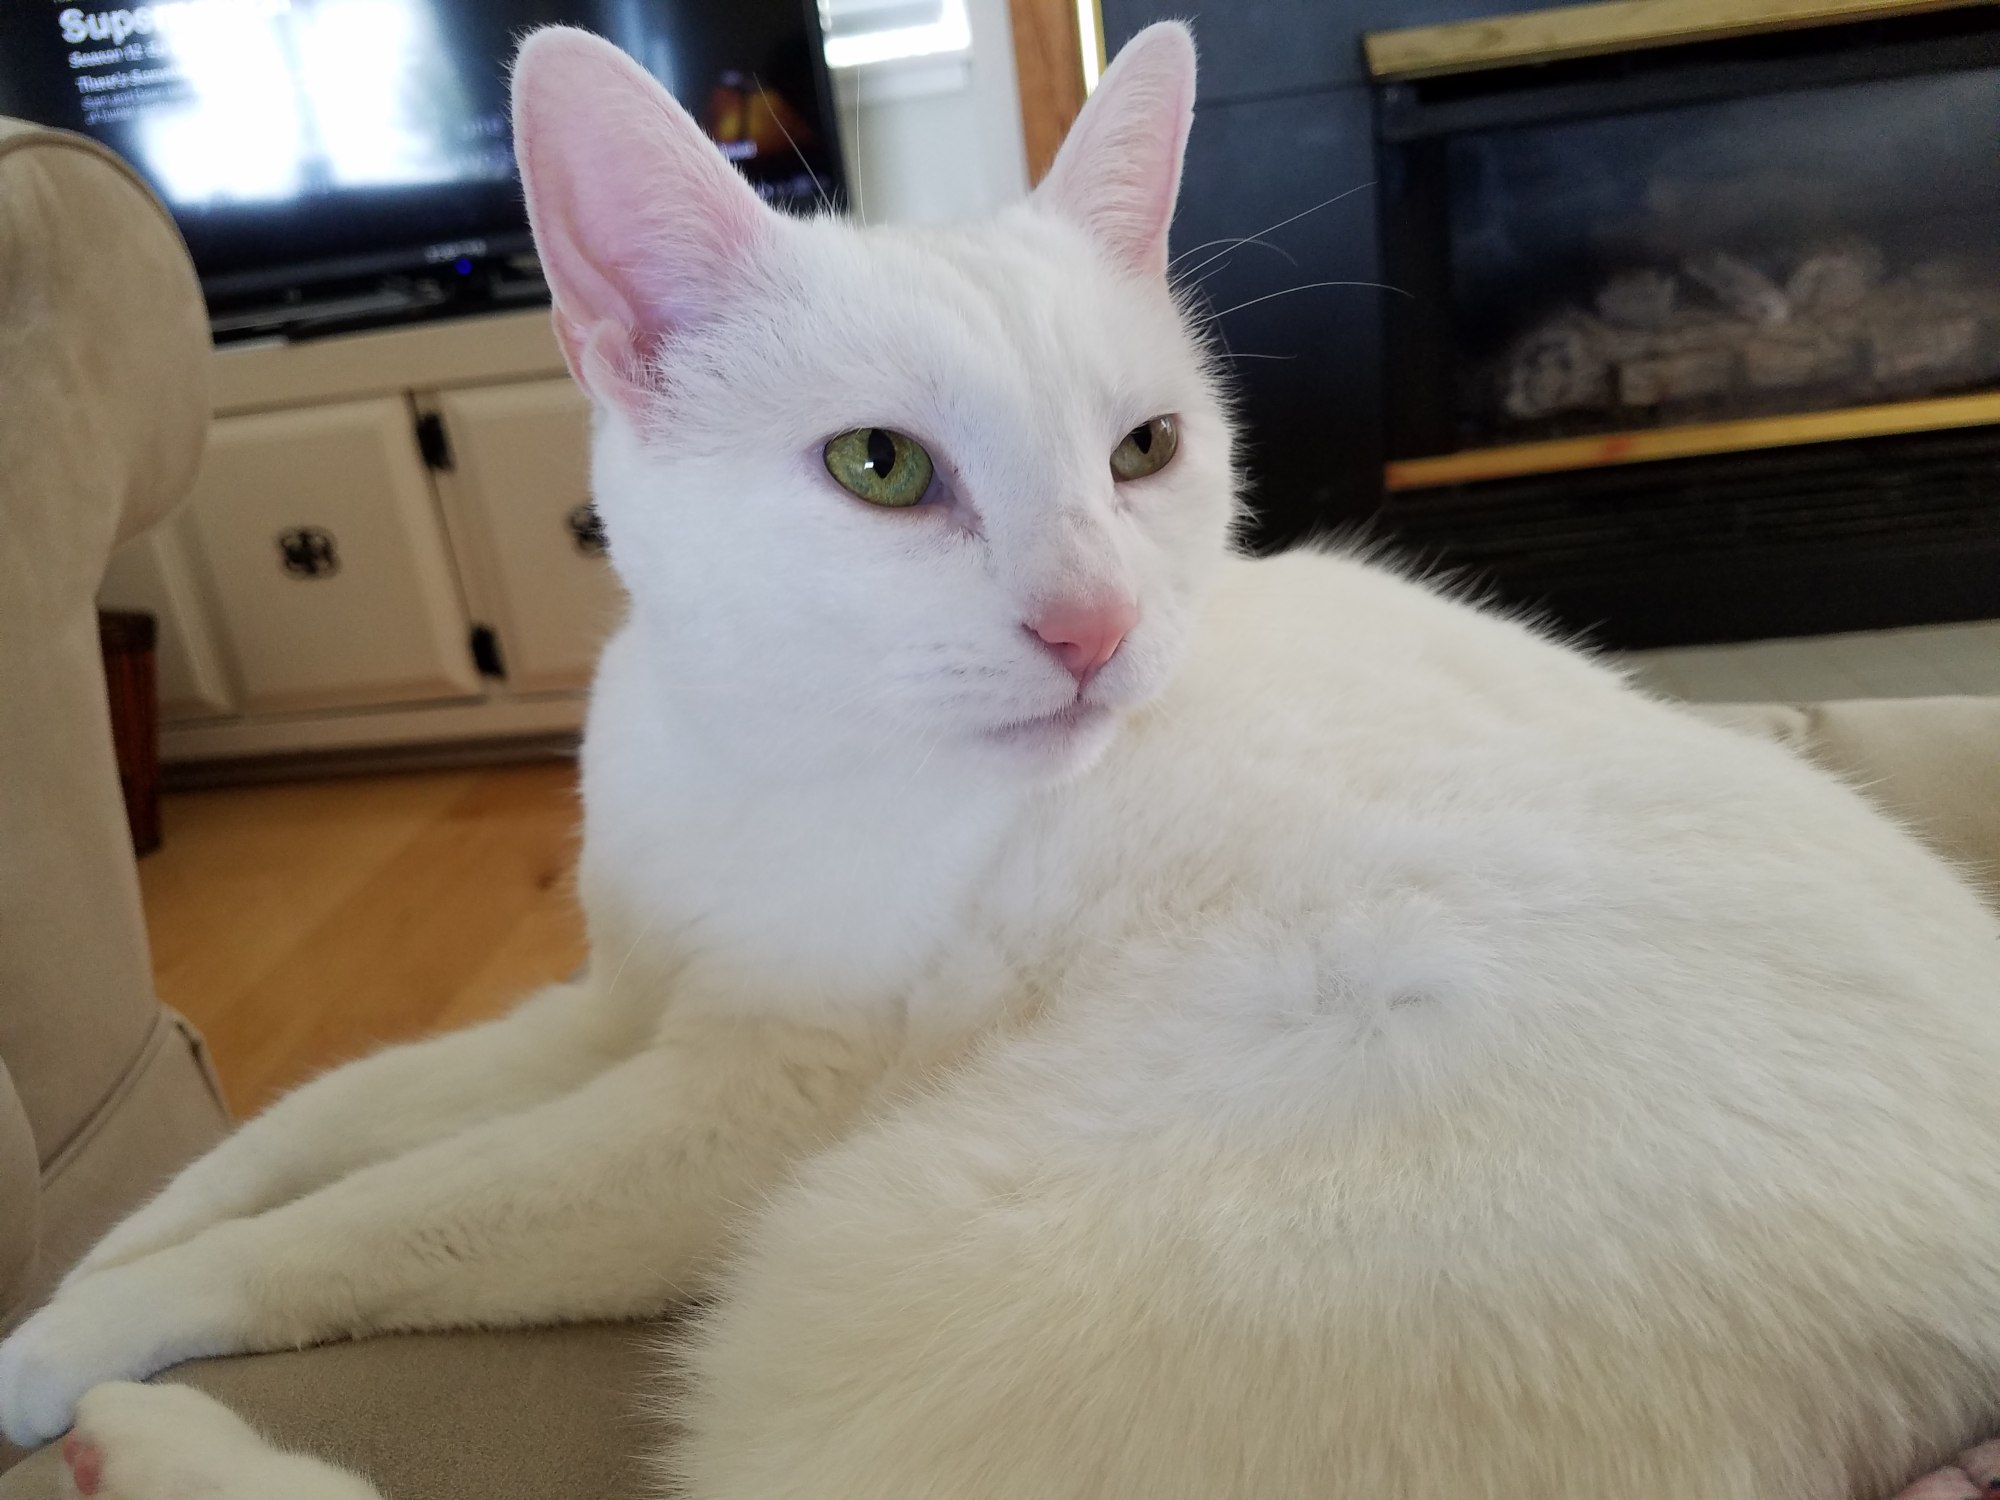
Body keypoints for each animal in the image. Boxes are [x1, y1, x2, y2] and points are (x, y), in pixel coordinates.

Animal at [3, 23, 2000, 1500]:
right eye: (879, 467)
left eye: (1146, 452)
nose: (1096, 628)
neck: (756, 742)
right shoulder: (610, 1004)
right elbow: (313, 1124)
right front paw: (76, 1274)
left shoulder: (735, 1109)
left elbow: (388, 1215)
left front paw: (88, 1345)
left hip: (868, 1240)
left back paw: (148, 1448)